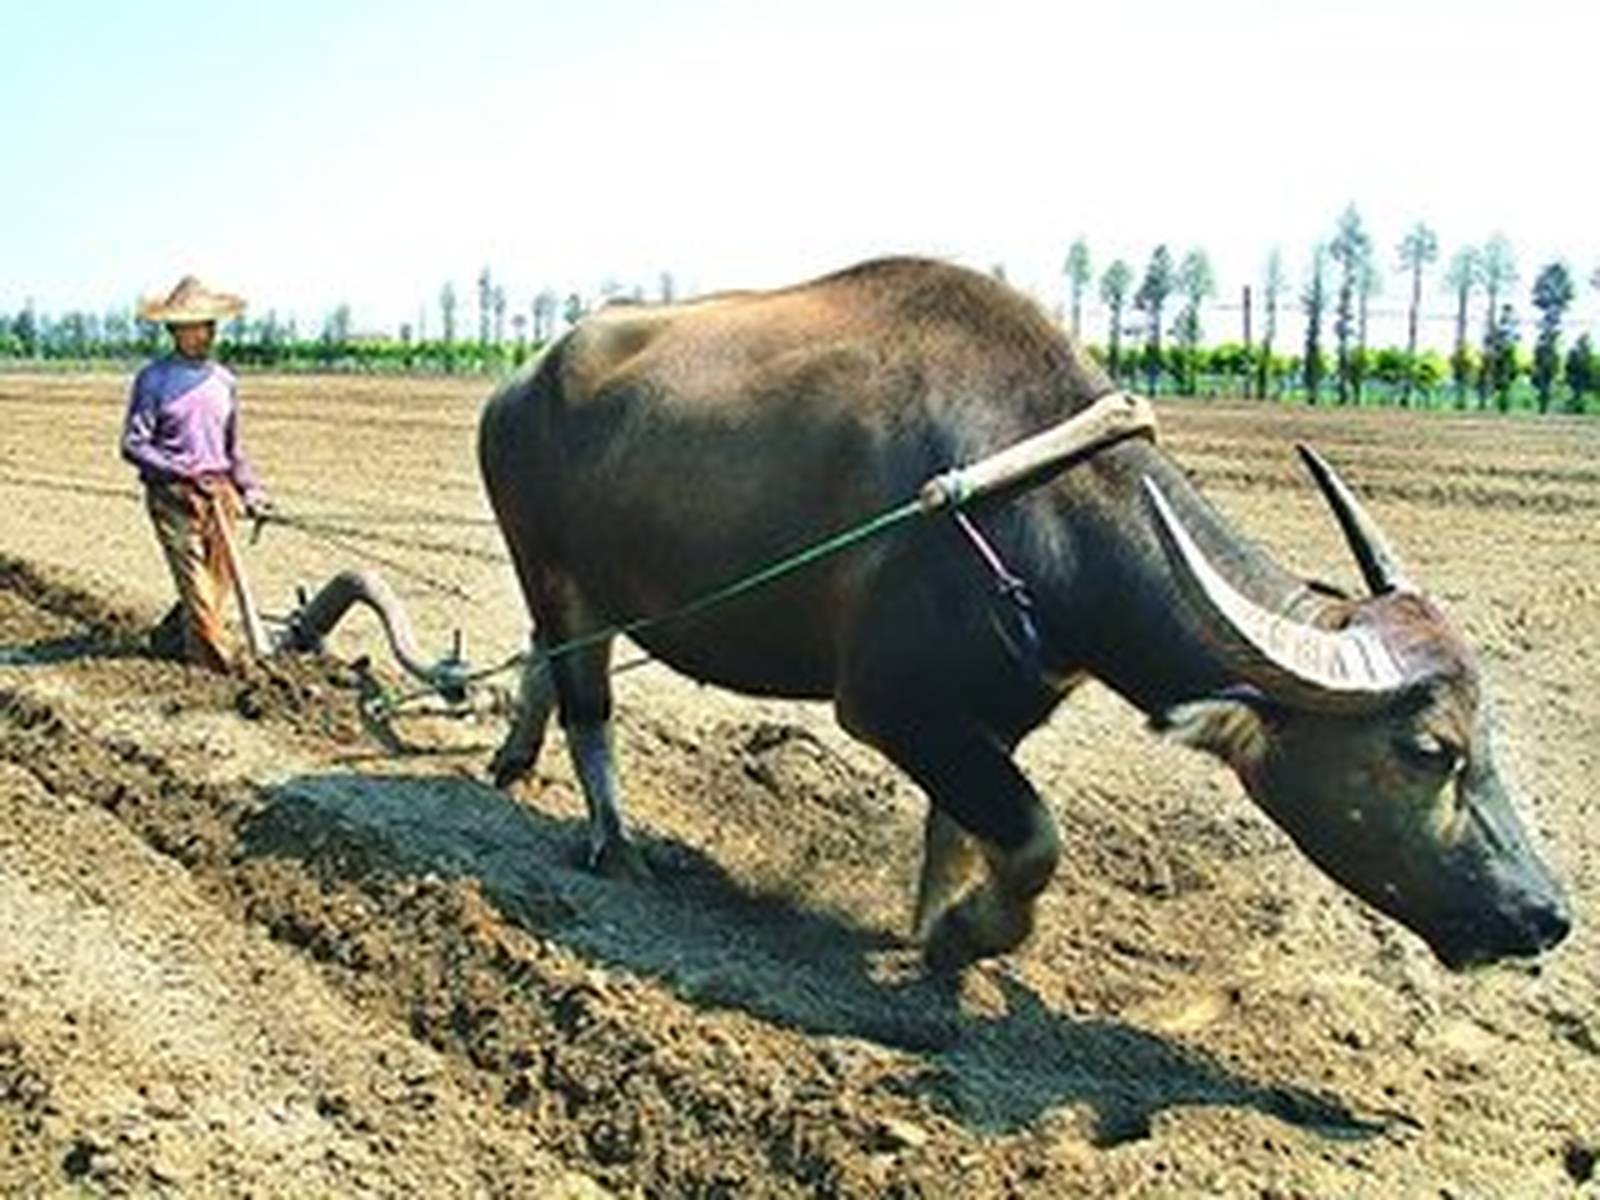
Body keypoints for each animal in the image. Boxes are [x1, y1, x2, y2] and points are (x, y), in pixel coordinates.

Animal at [476, 256, 1574, 979]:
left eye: (1489, 735)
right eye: (1428, 751)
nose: (1546, 913)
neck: (1043, 508)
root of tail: (522, 379)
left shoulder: (990, 714)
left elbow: (958, 834)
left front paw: (934, 923)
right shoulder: (891, 707)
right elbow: (1036, 837)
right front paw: (970, 935)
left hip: (585, 587)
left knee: (545, 657)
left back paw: (513, 759)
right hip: (548, 565)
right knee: (588, 700)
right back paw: (614, 842)